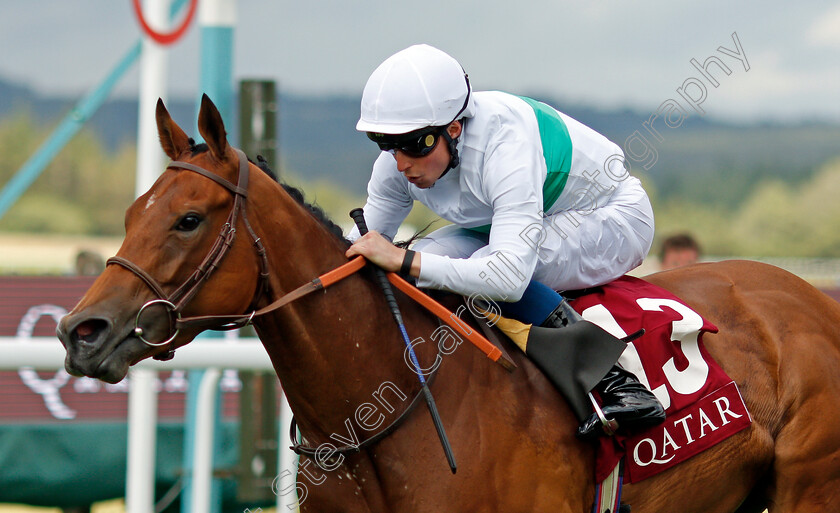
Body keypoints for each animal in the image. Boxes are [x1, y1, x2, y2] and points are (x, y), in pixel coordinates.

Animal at [60, 94, 840, 510]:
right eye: (131, 213)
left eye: (188, 219)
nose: (79, 330)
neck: (379, 413)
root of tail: (814, 300)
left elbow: (512, 261)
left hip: (808, 485)